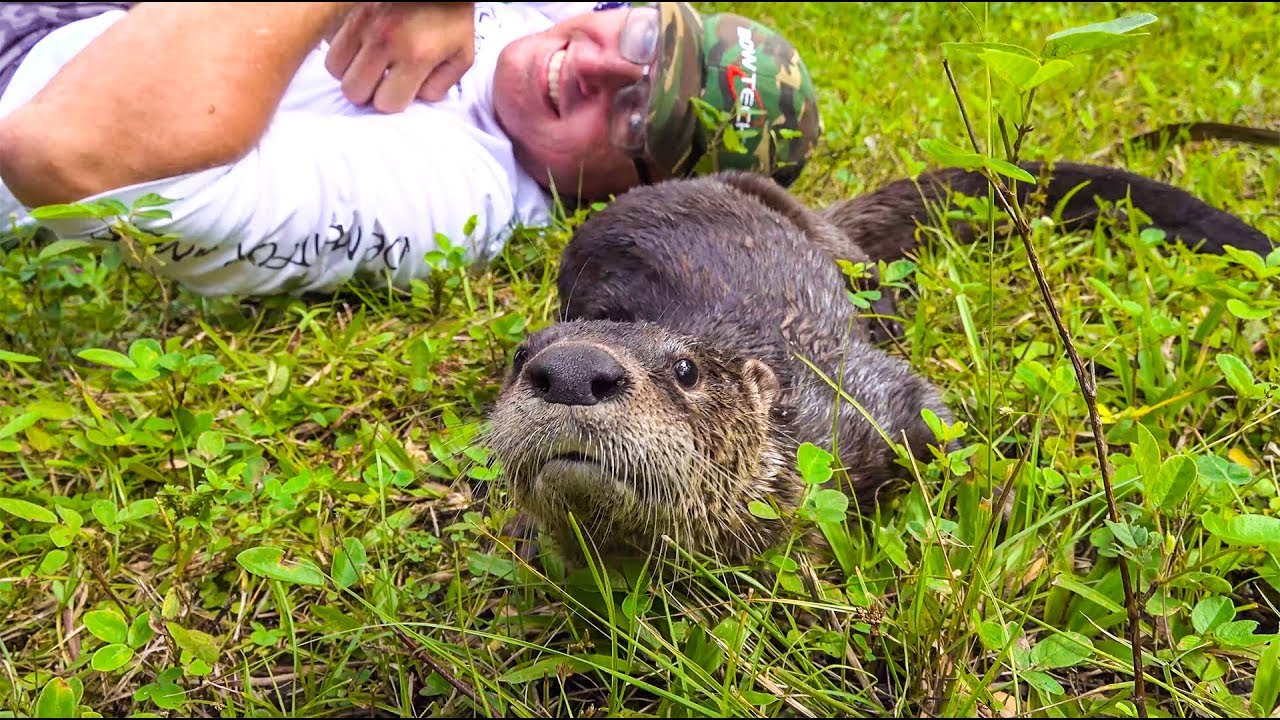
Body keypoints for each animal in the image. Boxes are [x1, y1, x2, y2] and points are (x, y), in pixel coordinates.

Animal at [485, 160, 1275, 562]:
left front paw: (998, 508)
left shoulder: (864, 394)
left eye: (686, 371)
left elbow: (935, 417)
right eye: (524, 357)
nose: (573, 371)